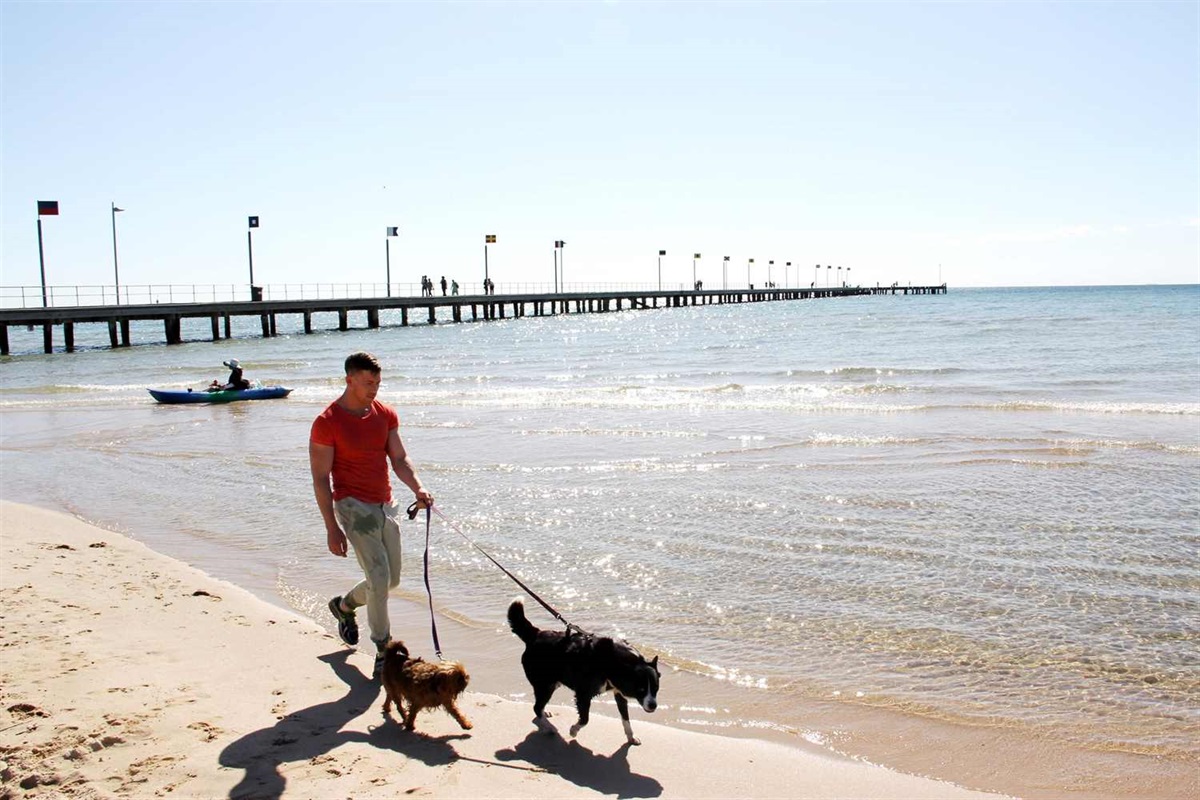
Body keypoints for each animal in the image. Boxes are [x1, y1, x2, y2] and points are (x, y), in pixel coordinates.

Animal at [504, 599, 662, 743]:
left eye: (656, 689)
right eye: (641, 689)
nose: (653, 705)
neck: (613, 661)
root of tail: (535, 634)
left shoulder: (619, 692)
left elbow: (625, 719)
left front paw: (631, 737)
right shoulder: (583, 694)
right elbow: (585, 719)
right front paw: (573, 731)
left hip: (552, 683)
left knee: (539, 706)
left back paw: (545, 714)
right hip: (545, 684)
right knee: (536, 707)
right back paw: (549, 727)